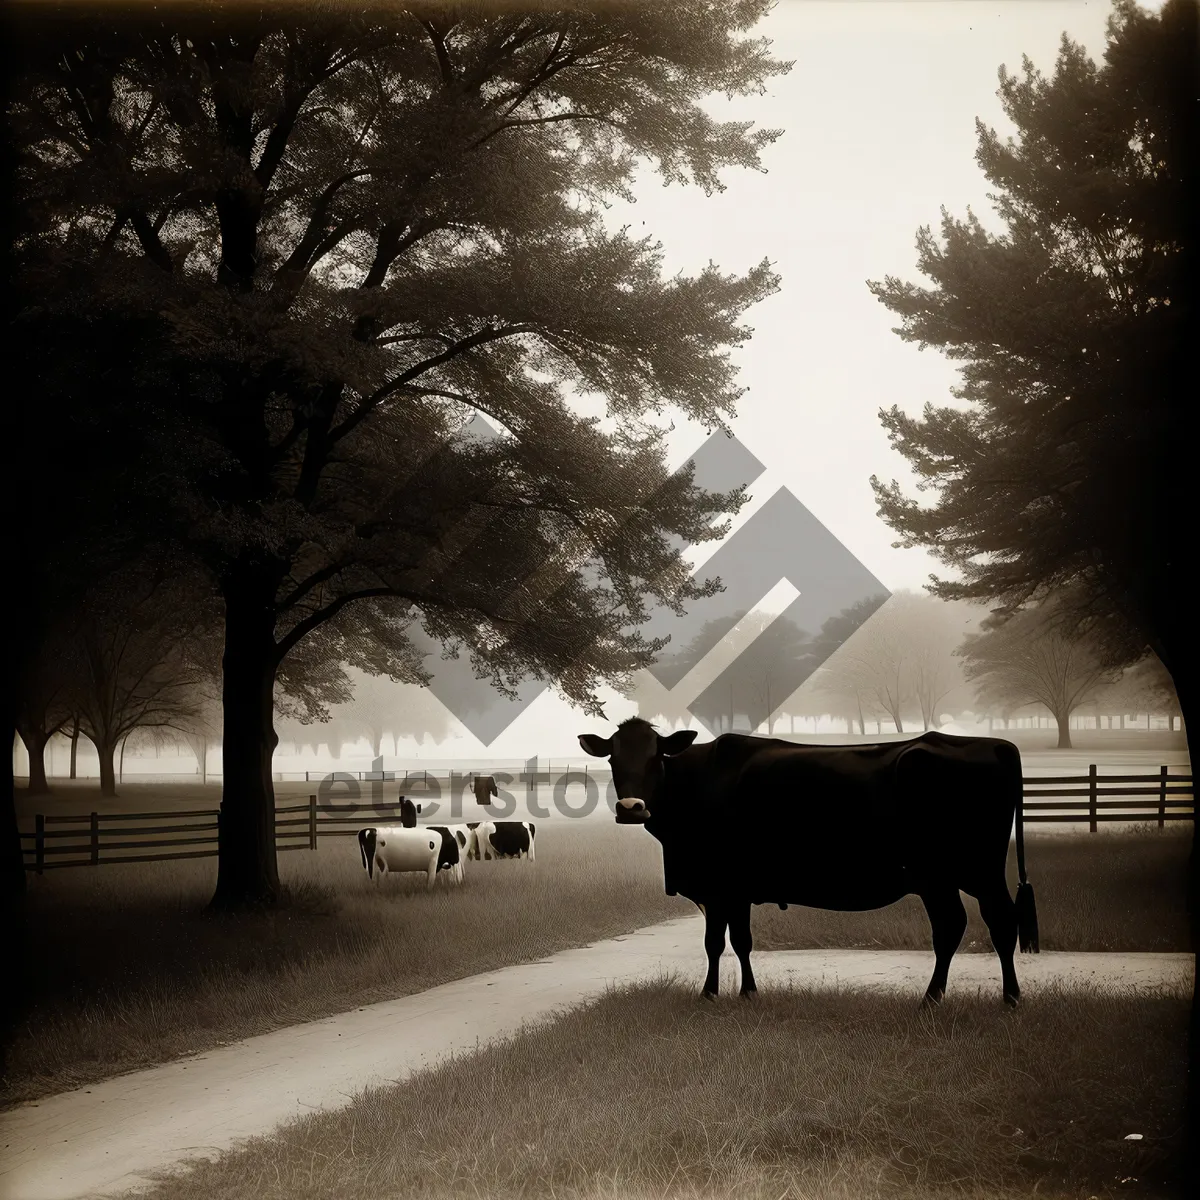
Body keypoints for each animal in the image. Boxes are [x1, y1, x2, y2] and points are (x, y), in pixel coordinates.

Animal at [576, 715, 1036, 1008]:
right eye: (613, 759)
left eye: (656, 758)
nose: (631, 808)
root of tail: (996, 744)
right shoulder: (739, 887)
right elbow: (741, 941)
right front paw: (748, 993)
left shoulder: (720, 885)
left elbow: (715, 943)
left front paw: (709, 995)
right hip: (960, 875)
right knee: (981, 923)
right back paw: (987, 996)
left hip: (957, 873)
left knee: (975, 924)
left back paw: (965, 998)